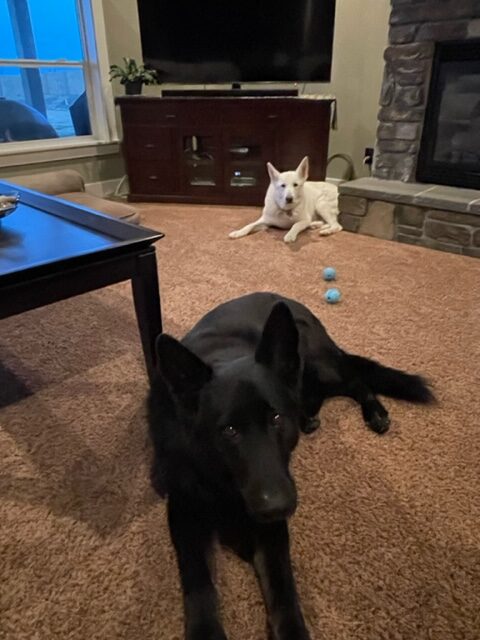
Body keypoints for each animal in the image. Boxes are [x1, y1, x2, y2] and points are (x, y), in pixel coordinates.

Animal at [148, 292, 434, 640]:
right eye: (229, 431)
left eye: (275, 418)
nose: (277, 506)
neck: (224, 482)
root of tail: (287, 300)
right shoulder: (184, 515)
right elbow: (198, 581)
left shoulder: (272, 529)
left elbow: (283, 589)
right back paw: (309, 415)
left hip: (317, 364)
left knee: (355, 380)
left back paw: (373, 412)